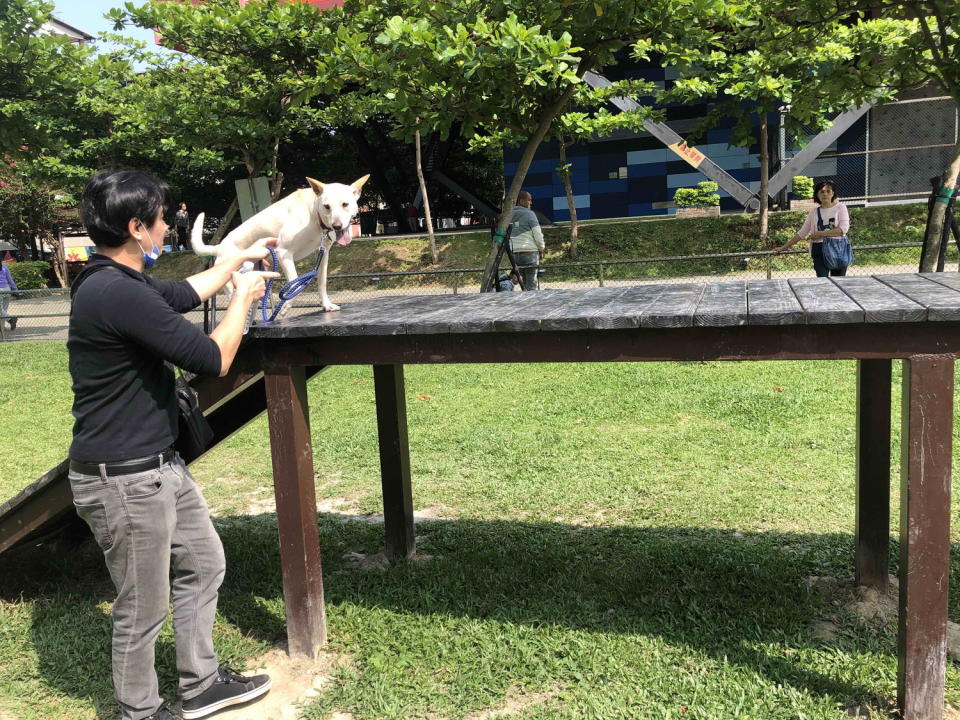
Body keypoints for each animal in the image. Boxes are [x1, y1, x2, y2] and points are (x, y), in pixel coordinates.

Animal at [189, 175, 370, 312]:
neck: (313, 214)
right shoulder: (283, 253)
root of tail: (219, 247)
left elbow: (322, 282)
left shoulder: (323, 254)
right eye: (327, 206)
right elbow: (295, 284)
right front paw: (285, 307)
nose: (337, 226)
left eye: (345, 204)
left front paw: (326, 305)